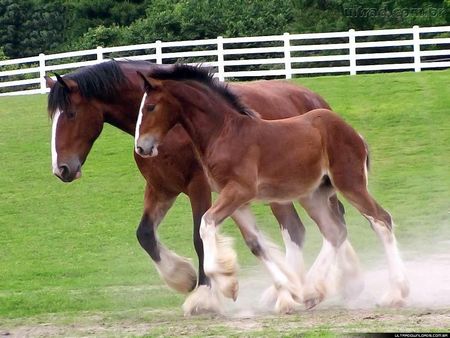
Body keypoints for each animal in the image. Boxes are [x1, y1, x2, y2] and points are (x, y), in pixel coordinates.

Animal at [44, 58, 358, 314]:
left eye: (70, 114)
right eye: (52, 118)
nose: (62, 169)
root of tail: (315, 99)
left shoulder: (200, 187)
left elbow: (198, 237)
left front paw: (205, 294)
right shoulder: (161, 188)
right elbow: (145, 234)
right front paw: (183, 277)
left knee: (310, 227)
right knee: (314, 226)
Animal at [134, 64, 412, 308]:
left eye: (150, 106)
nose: (141, 147)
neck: (224, 133)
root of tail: (354, 133)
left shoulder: (238, 191)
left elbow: (205, 224)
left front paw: (226, 285)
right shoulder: (237, 202)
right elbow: (255, 244)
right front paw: (285, 292)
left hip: (350, 184)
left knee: (381, 220)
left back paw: (395, 294)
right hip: (314, 195)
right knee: (335, 232)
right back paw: (311, 290)